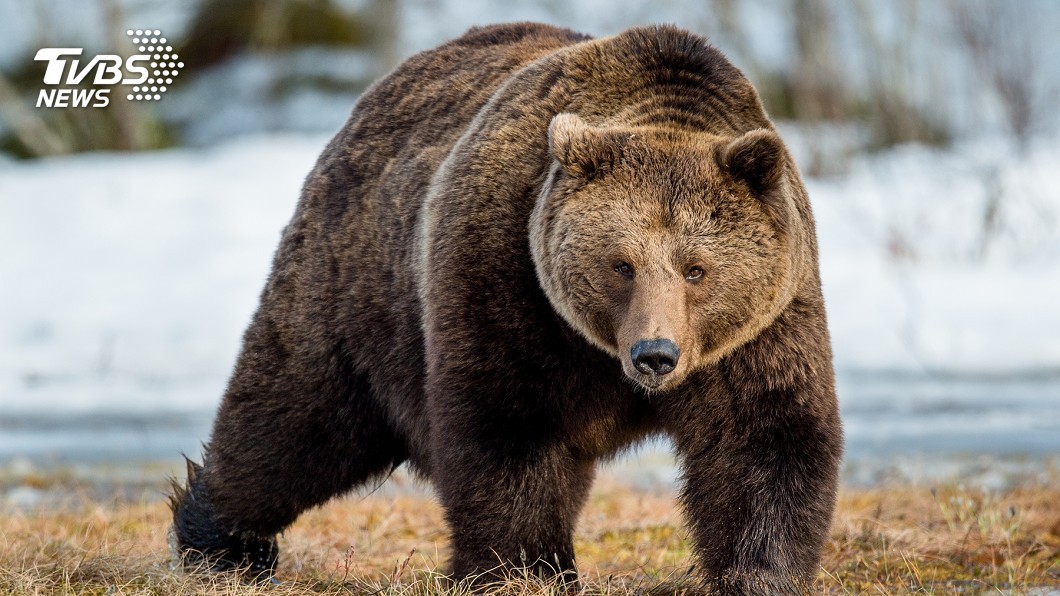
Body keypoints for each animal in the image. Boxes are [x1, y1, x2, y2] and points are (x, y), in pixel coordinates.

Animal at [170, 22, 843, 594]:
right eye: (621, 264)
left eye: (696, 268)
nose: (655, 354)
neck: (602, 353)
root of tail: (375, 94)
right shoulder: (507, 281)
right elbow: (509, 429)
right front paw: (527, 569)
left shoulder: (762, 326)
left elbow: (763, 439)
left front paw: (759, 573)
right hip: (357, 295)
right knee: (292, 422)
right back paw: (221, 541)